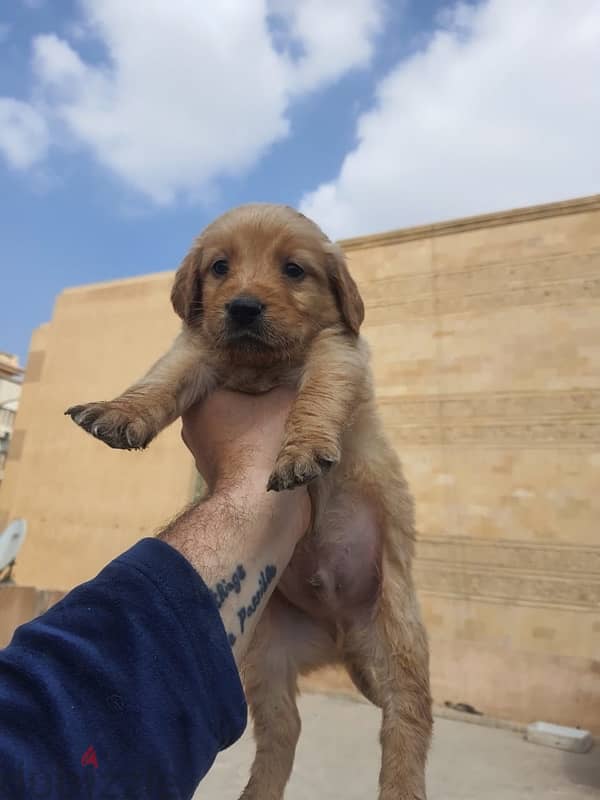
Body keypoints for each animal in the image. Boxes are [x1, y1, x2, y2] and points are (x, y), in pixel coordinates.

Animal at [67, 203, 432, 796]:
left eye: (293, 270)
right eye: (220, 267)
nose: (241, 307)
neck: (260, 365)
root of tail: (337, 636)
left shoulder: (339, 352)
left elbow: (318, 392)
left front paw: (301, 449)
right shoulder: (195, 349)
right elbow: (161, 378)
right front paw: (122, 412)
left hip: (398, 638)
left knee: (406, 723)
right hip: (266, 658)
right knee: (283, 732)